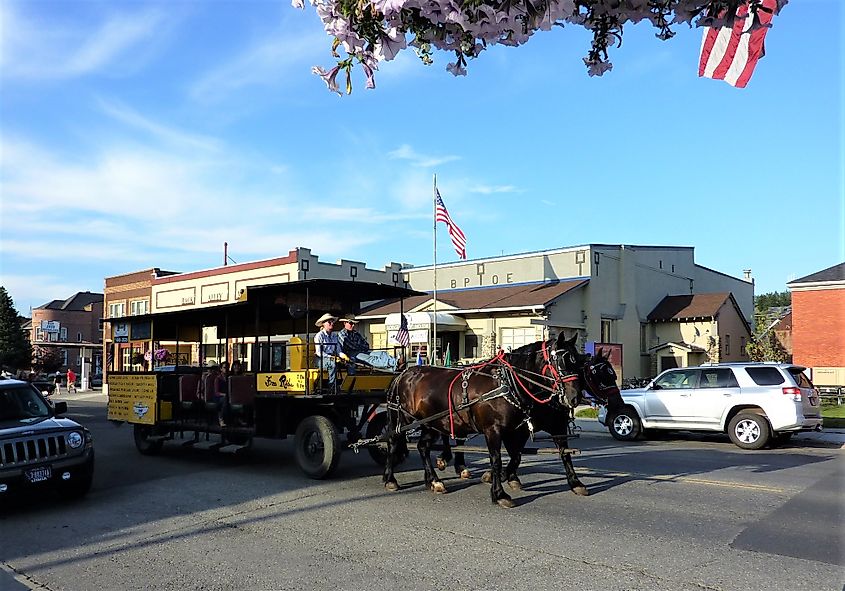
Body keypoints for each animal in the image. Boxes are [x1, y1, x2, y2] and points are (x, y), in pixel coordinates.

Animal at [384, 332, 592, 508]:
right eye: (561, 362)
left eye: (578, 364)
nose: (575, 397)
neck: (507, 383)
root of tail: (403, 374)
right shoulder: (494, 430)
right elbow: (497, 459)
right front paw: (499, 494)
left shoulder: (518, 429)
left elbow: (521, 456)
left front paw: (575, 483)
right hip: (403, 420)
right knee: (393, 442)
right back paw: (390, 479)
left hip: (430, 424)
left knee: (423, 447)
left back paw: (433, 481)